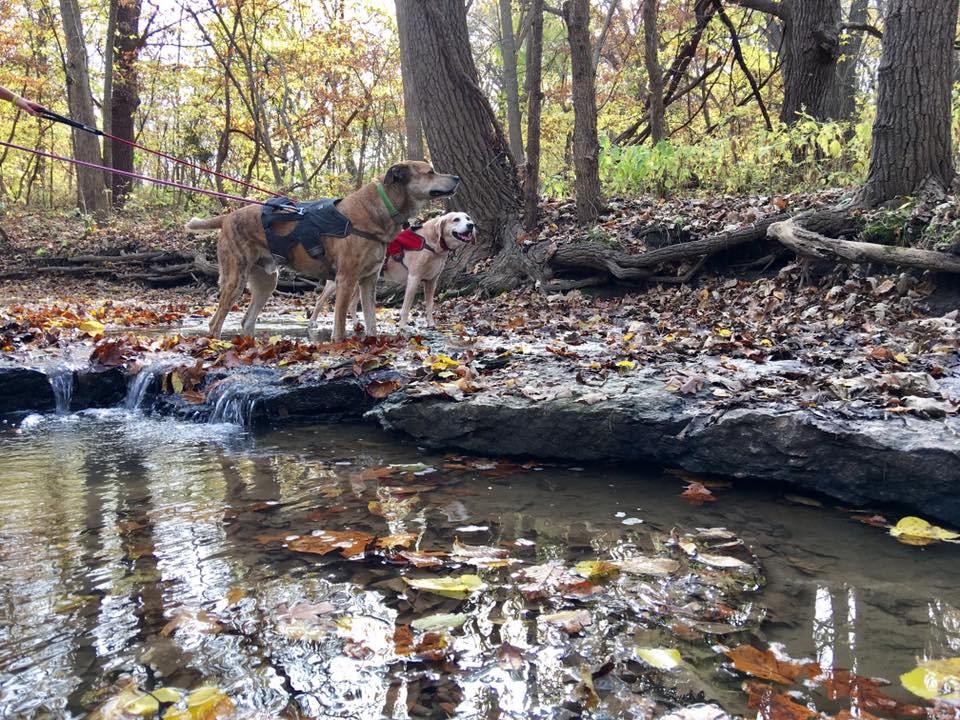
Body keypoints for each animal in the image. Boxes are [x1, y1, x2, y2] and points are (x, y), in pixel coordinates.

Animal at [309, 212, 476, 331]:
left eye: (467, 218)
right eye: (456, 219)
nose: (471, 225)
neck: (431, 241)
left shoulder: (431, 282)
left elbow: (429, 305)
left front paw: (431, 323)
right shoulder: (414, 279)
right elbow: (406, 307)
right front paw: (402, 327)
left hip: (359, 282)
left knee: (351, 305)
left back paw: (357, 324)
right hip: (336, 282)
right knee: (320, 300)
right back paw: (312, 322)